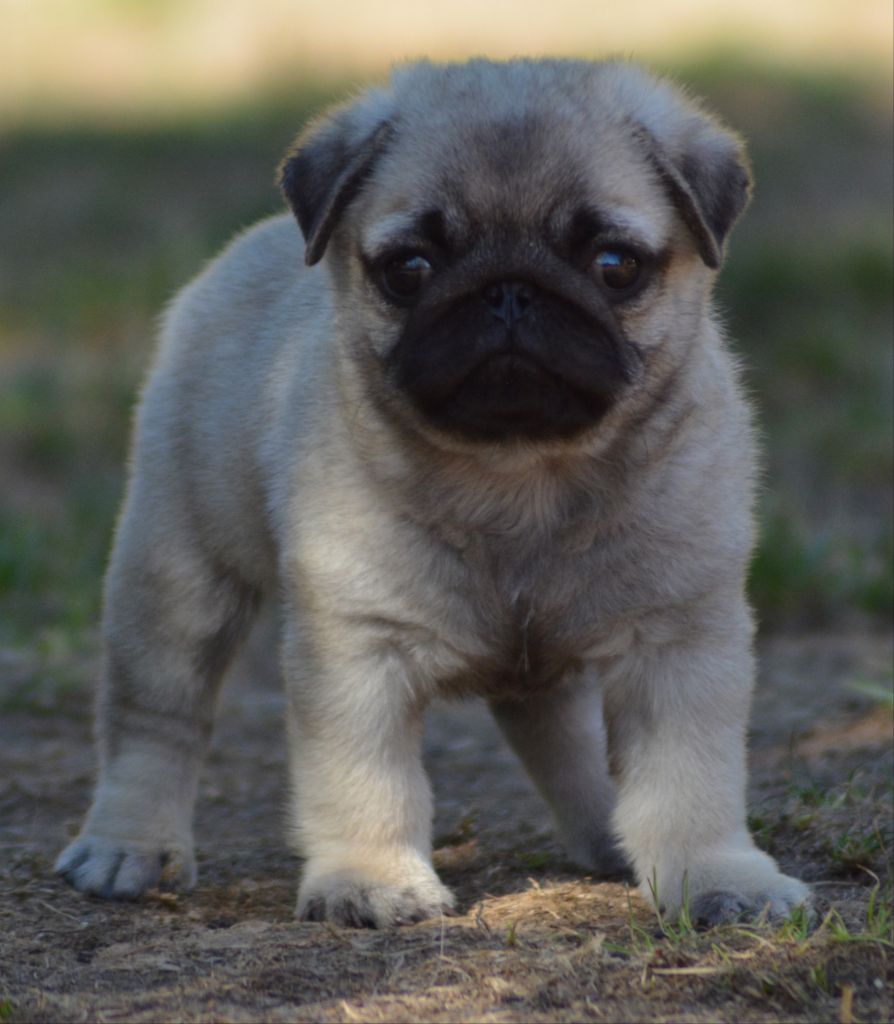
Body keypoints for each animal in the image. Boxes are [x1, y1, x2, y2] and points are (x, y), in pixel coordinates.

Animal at [55, 58, 811, 929]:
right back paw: (129, 844)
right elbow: (368, 783)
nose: (509, 291)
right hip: (178, 581)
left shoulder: (678, 642)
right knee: (155, 721)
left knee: (563, 741)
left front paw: (718, 875)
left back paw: (610, 836)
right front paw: (370, 880)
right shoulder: (358, 656)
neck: (520, 473)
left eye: (615, 266)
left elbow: (691, 783)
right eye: (409, 269)